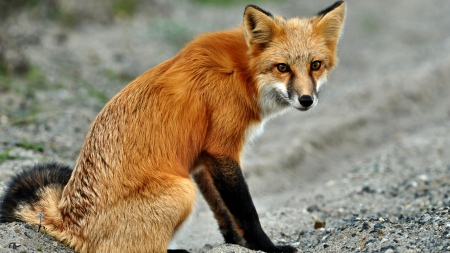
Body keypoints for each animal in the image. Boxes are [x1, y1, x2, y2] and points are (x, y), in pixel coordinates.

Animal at [0, 0, 346, 252]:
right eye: (282, 67)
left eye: (315, 65)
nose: (306, 100)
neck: (241, 73)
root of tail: (68, 221)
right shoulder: (222, 151)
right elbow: (247, 211)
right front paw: (268, 248)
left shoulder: (203, 159)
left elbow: (223, 212)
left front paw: (236, 245)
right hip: (181, 191)